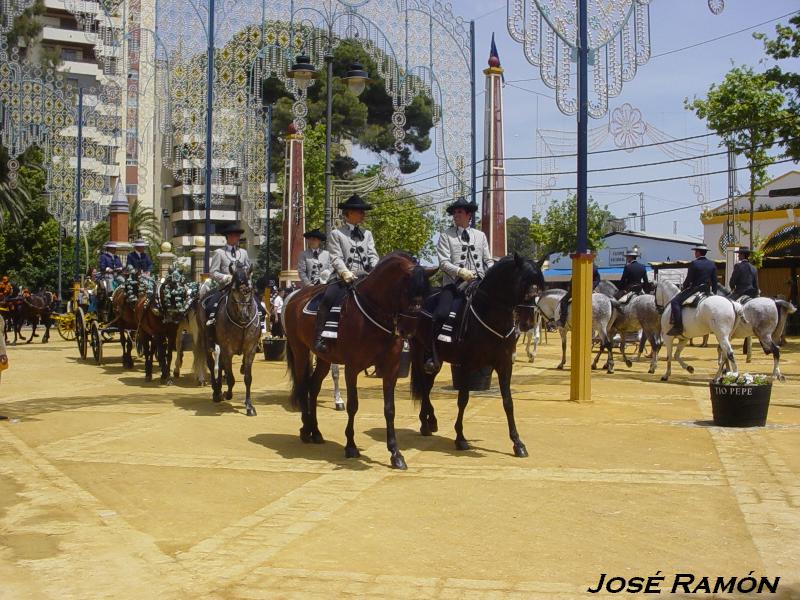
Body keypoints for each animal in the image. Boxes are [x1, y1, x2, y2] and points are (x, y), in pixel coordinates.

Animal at [194, 262, 260, 418]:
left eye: (250, 289)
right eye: (233, 288)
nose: (244, 315)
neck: (241, 324)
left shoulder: (250, 350)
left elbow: (247, 378)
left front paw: (249, 406)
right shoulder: (227, 350)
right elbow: (230, 377)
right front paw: (226, 393)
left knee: (221, 365)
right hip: (207, 341)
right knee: (212, 363)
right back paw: (216, 391)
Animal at [282, 251, 434, 472]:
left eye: (426, 294)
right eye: (407, 290)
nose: (408, 331)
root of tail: (295, 297)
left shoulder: (391, 369)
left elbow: (390, 409)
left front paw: (395, 453)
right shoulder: (352, 367)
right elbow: (353, 405)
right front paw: (351, 446)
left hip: (324, 359)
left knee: (313, 387)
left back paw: (316, 431)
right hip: (300, 350)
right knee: (303, 387)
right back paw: (305, 429)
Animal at [410, 255, 548, 458]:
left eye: (539, 286)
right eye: (522, 282)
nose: (528, 322)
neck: (489, 315)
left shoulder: (504, 365)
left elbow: (508, 402)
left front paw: (518, 443)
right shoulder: (466, 366)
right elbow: (463, 400)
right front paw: (460, 438)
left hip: (437, 360)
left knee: (427, 386)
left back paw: (428, 422)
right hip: (420, 354)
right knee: (424, 385)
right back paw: (428, 423)